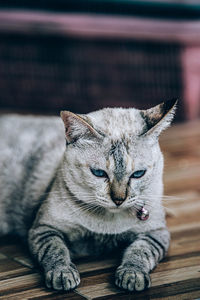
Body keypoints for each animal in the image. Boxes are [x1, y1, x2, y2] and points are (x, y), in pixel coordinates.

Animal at [0, 99, 177, 292]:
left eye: (138, 174)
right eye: (99, 173)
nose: (118, 200)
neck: (106, 226)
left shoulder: (155, 233)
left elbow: (140, 252)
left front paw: (132, 275)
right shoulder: (44, 228)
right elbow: (56, 250)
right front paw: (63, 274)